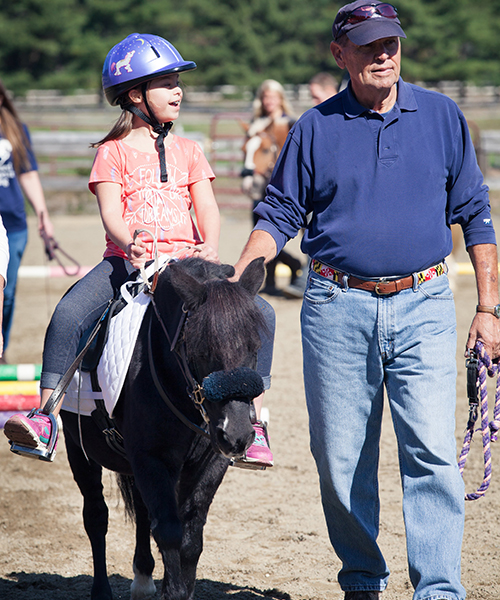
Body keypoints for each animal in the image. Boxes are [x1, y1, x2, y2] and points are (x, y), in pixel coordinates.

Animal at [59, 258, 266, 600]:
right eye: (200, 349)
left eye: (256, 346)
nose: (237, 435)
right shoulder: (151, 458)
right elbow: (169, 531)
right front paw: (174, 590)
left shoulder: (210, 461)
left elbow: (190, 538)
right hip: (79, 450)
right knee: (96, 516)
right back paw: (102, 590)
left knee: (143, 513)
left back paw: (143, 579)